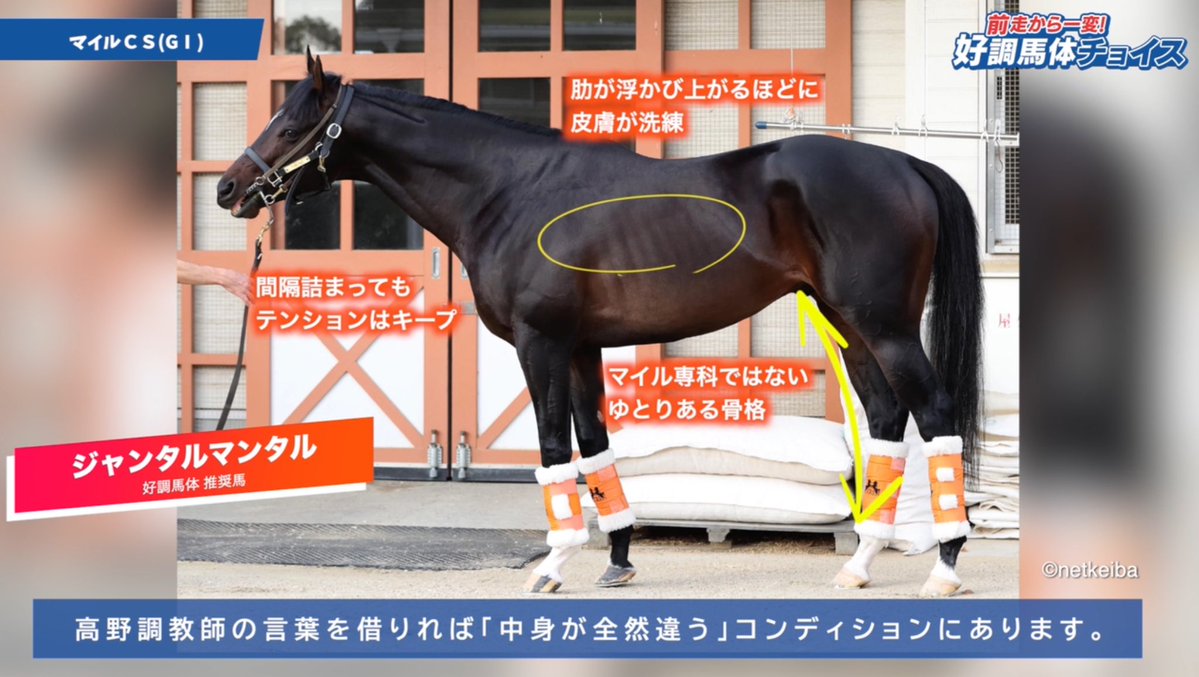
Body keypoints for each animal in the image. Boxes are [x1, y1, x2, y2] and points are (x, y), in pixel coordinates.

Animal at [218, 52, 982, 597]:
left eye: (292, 125)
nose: (229, 188)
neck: (508, 192)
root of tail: (904, 162)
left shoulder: (541, 344)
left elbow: (556, 449)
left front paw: (552, 565)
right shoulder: (582, 348)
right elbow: (595, 448)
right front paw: (617, 560)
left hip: (883, 325)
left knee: (934, 411)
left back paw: (945, 566)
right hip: (851, 325)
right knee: (886, 419)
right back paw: (859, 562)